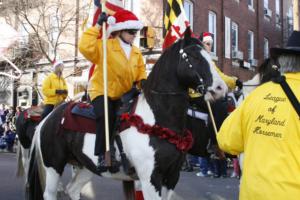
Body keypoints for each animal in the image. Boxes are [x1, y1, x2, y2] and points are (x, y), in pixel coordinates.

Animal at [28, 28, 226, 200]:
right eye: (193, 56)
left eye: (210, 57)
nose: (220, 88)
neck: (156, 121)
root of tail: (48, 119)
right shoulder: (150, 178)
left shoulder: (172, 177)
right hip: (53, 166)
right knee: (50, 194)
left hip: (84, 166)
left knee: (73, 190)